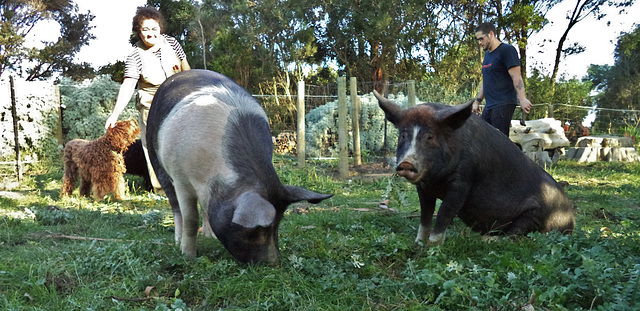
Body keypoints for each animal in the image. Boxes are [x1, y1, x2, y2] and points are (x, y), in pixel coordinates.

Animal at [147, 70, 332, 264]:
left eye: (278, 223)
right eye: (256, 230)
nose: (274, 263)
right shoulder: (180, 178)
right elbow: (190, 218)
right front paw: (188, 257)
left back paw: (209, 236)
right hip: (156, 158)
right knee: (175, 206)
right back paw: (177, 239)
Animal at [372, 90, 572, 244]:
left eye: (430, 137)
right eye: (403, 135)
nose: (406, 163)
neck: (435, 181)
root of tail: (572, 220)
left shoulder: (463, 180)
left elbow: (444, 213)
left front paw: (432, 248)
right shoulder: (424, 188)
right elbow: (425, 217)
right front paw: (418, 243)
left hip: (535, 215)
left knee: (515, 234)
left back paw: (486, 240)